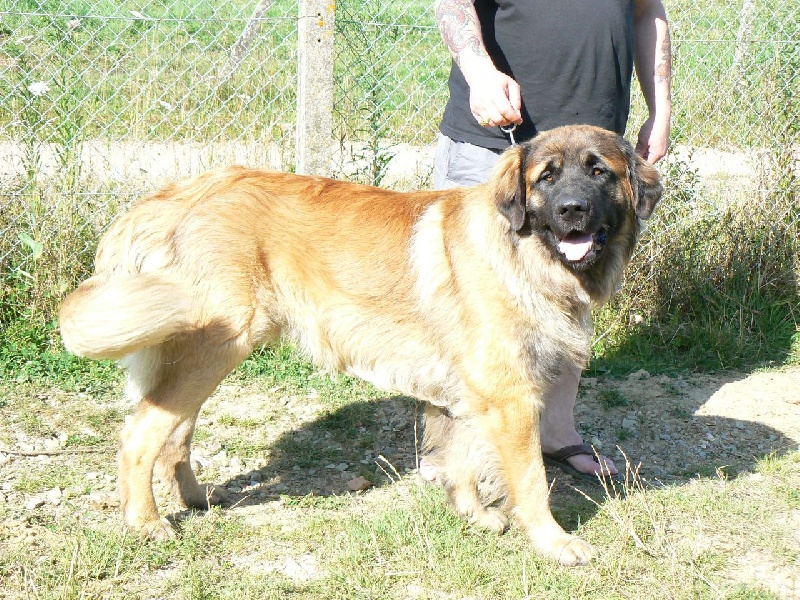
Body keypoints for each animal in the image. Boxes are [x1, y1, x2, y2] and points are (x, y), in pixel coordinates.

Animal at [59, 124, 664, 564]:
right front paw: (554, 543)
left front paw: (471, 513)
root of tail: (182, 194)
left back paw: (195, 498)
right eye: (546, 177)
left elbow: (462, 458)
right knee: (140, 436)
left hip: (201, 354)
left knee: (174, 432)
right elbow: (532, 481)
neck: (524, 255)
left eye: (599, 172)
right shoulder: (511, 398)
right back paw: (147, 522)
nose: (572, 211)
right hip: (219, 343)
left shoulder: (470, 394)